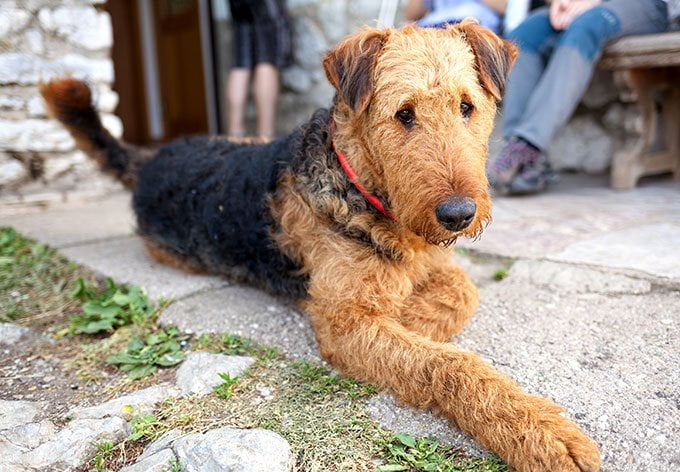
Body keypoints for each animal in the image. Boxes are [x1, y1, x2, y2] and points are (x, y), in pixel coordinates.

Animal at [41, 20, 600, 470]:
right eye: (404, 114)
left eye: (467, 107)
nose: (458, 215)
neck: (366, 188)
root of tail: (152, 160)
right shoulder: (346, 319)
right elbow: (443, 360)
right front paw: (546, 436)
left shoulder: (434, 264)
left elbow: (460, 294)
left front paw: (412, 310)